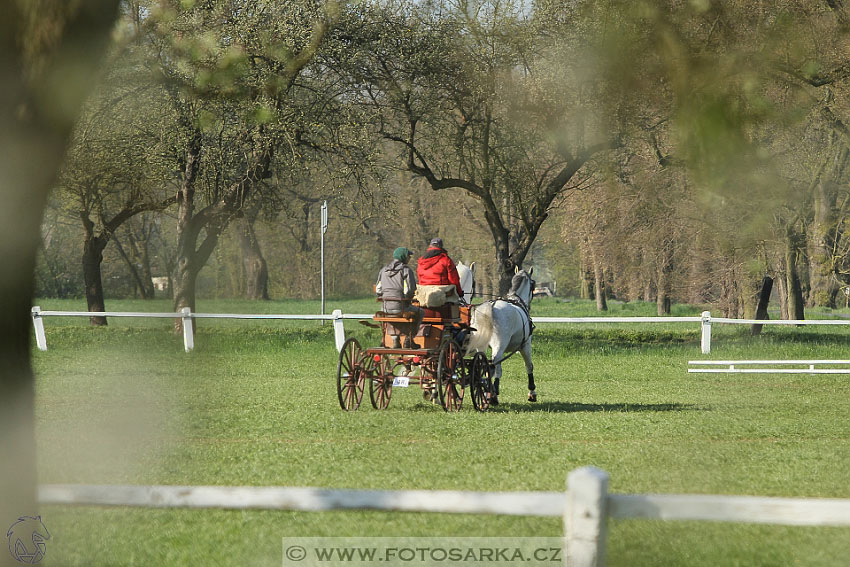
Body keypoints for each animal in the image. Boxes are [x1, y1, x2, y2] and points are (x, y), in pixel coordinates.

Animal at [468, 270, 532, 406]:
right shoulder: (525, 345)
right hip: (500, 345)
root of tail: (491, 307)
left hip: (481, 347)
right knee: (496, 366)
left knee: (485, 365)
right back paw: (493, 394)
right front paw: (532, 392)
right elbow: (529, 366)